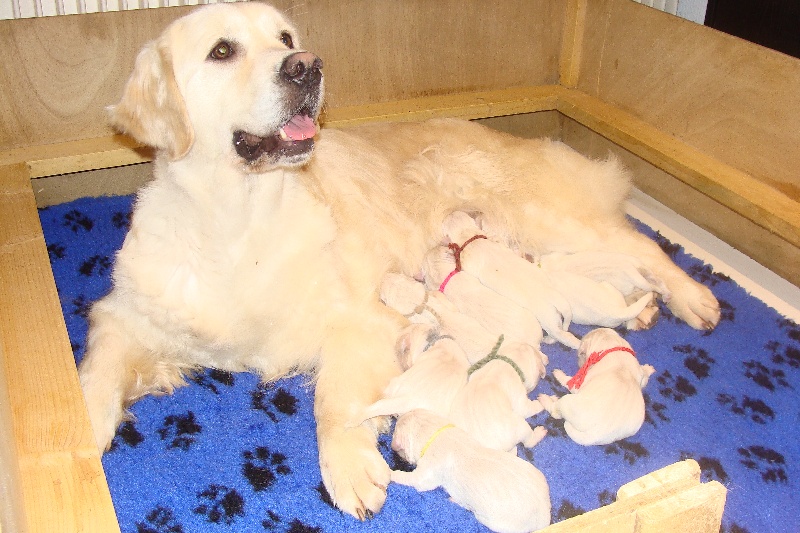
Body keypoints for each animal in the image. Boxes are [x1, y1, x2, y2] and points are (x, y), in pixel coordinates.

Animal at [392, 410, 552, 532]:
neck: (436, 434)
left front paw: (391, 473)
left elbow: (413, 479)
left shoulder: (427, 473)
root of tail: (545, 514)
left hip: (495, 522)